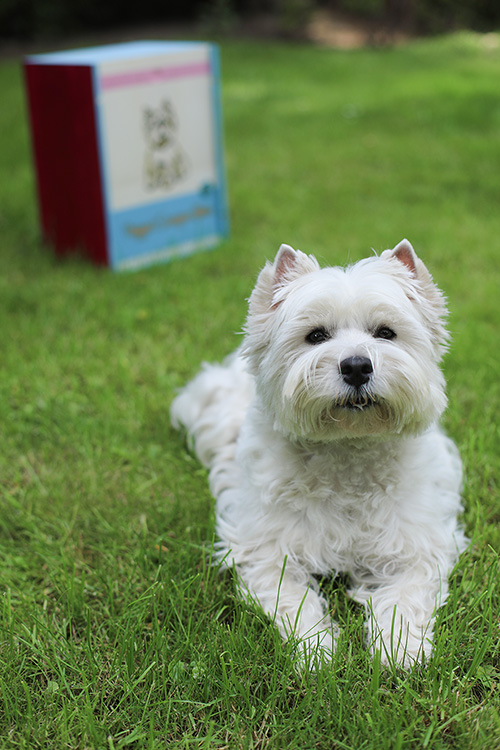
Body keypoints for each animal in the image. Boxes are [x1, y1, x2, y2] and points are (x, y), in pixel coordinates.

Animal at [170, 241, 466, 668]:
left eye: (386, 333)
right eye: (315, 335)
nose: (356, 365)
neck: (347, 452)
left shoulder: (416, 547)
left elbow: (404, 597)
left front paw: (398, 651)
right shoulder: (265, 550)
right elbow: (292, 601)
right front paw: (316, 651)